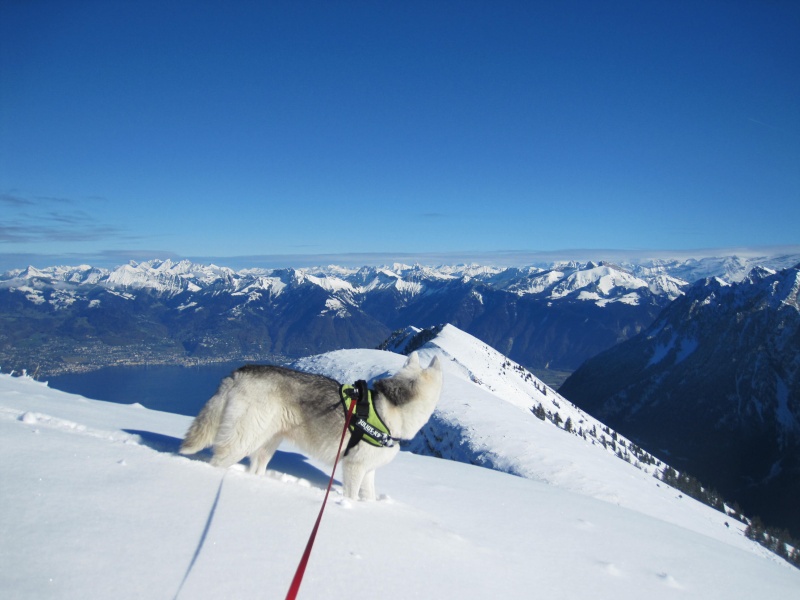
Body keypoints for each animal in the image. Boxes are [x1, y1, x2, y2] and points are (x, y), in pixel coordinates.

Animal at [179, 354, 444, 500]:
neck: (390, 410)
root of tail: (239, 372)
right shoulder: (354, 468)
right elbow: (352, 496)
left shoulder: (368, 471)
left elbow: (368, 497)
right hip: (243, 440)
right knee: (218, 461)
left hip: (266, 444)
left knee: (256, 468)